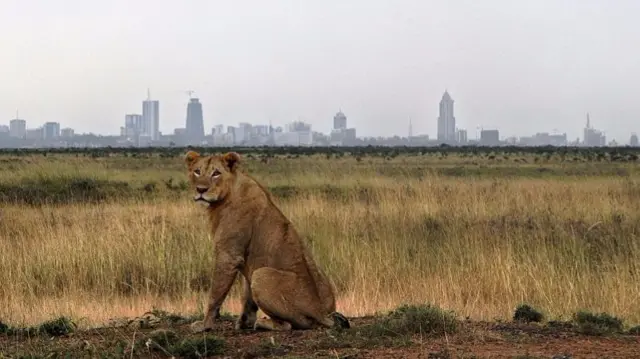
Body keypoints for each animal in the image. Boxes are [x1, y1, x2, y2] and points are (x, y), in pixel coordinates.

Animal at [184, 150, 350, 334]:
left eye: (216, 173)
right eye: (197, 171)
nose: (200, 189)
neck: (226, 196)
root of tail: (322, 313)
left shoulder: (228, 256)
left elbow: (215, 295)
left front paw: (205, 325)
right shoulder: (246, 261)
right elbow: (247, 296)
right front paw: (244, 322)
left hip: (262, 275)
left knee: (290, 325)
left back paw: (263, 323)